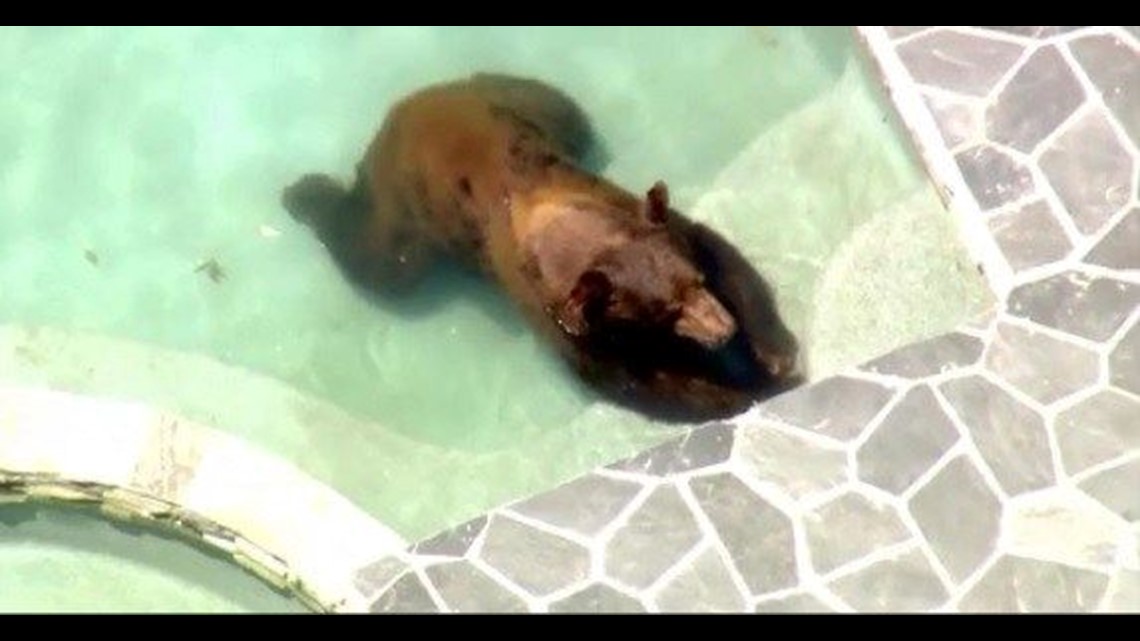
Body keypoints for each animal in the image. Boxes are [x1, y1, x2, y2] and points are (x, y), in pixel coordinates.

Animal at [283, 73, 801, 422]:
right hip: (406, 209)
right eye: (665, 313)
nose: (723, 329)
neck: (559, 222)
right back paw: (304, 193)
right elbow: (630, 376)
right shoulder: (555, 310)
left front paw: (772, 351)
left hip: (530, 103)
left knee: (567, 108)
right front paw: (741, 391)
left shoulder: (633, 210)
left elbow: (724, 255)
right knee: (385, 265)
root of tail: (400, 111)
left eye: (694, 282)